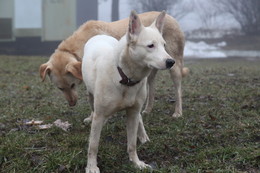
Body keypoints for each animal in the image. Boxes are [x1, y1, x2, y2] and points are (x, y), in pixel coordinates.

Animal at [39, 10, 188, 116]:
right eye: (60, 89)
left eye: (72, 85)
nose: (72, 104)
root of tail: (171, 17)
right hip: (151, 69)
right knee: (151, 87)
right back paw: (147, 110)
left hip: (173, 65)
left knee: (178, 88)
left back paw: (178, 112)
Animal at [82, 10, 174, 173]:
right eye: (150, 45)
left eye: (164, 45)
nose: (171, 62)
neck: (126, 78)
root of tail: (100, 36)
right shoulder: (99, 115)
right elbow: (93, 145)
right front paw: (91, 166)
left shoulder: (133, 112)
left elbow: (132, 143)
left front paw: (136, 163)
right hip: (90, 96)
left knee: (140, 119)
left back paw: (143, 136)